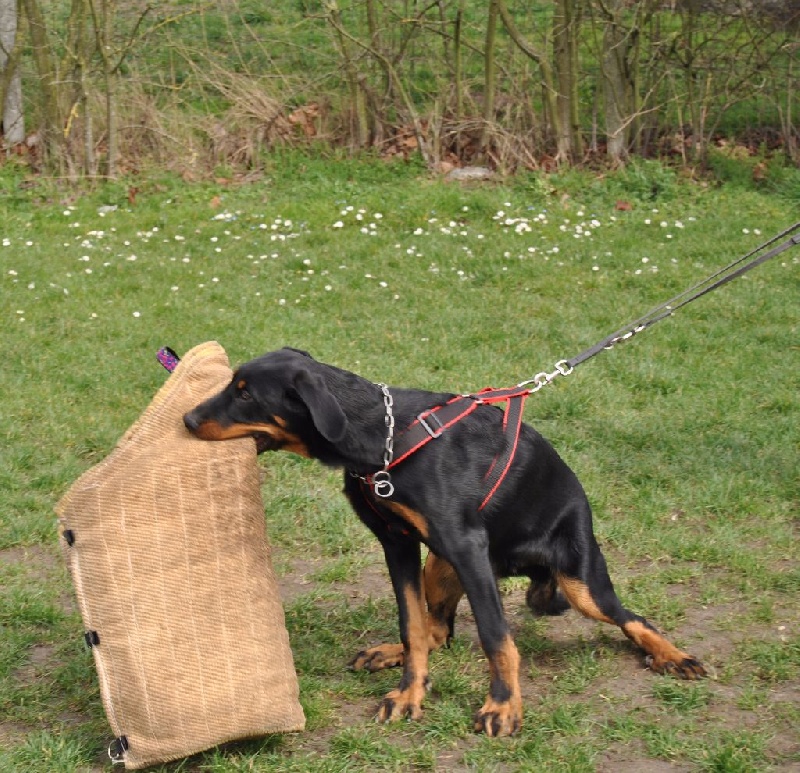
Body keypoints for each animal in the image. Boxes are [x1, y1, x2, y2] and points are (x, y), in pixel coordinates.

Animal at [184, 348, 704, 736]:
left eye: (245, 394)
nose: (187, 419)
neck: (384, 439)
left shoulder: (467, 546)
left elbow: (496, 635)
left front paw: (502, 706)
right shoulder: (398, 544)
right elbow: (412, 626)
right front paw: (410, 693)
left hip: (577, 581)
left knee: (632, 618)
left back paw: (674, 657)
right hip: (438, 562)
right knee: (439, 631)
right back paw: (386, 652)